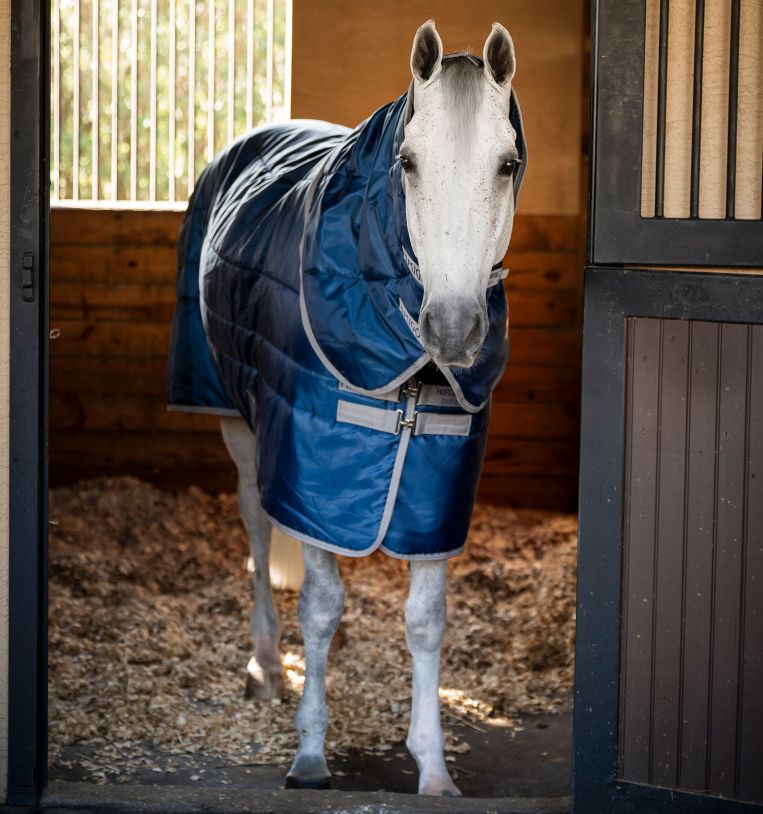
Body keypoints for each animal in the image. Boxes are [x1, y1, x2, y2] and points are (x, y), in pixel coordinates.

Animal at [168, 19, 525, 797]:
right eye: (408, 163)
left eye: (507, 164)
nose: (454, 328)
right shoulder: (310, 469)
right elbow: (321, 604)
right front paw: (310, 753)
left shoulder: (435, 490)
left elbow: (426, 619)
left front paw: (432, 765)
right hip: (238, 422)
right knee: (257, 527)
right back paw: (267, 667)